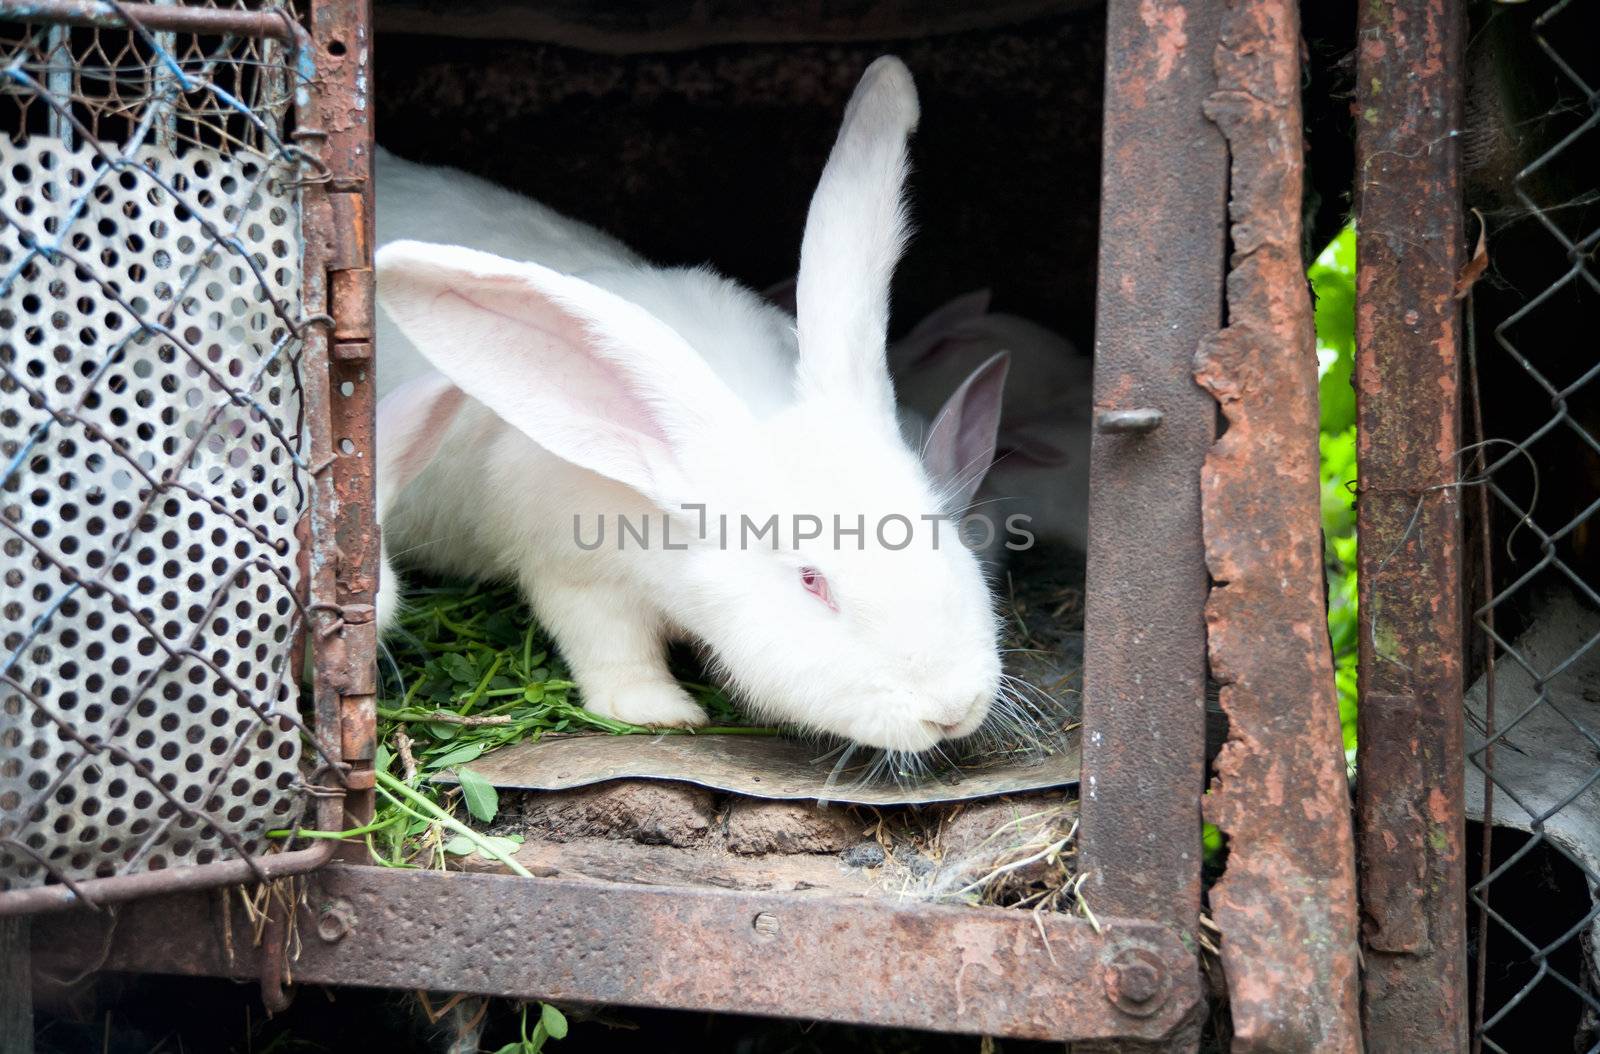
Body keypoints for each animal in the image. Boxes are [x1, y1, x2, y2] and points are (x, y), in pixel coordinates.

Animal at [368, 57, 1004, 754]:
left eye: (942, 528)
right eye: (811, 580)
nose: (952, 709)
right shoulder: (571, 571)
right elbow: (608, 647)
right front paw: (658, 711)